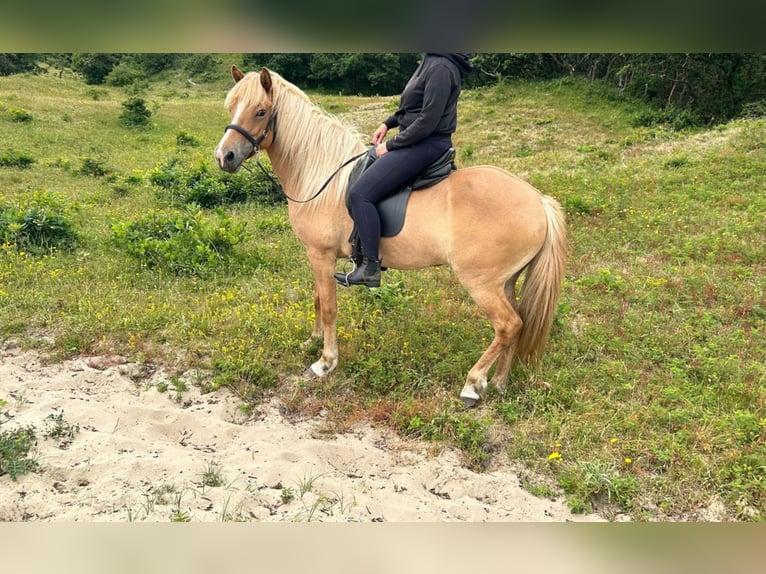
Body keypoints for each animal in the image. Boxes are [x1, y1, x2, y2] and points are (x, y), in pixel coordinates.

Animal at [213, 66, 568, 410]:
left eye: (260, 111)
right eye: (231, 107)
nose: (224, 156)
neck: (322, 176)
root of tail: (538, 201)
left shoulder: (321, 254)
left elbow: (329, 307)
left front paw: (325, 362)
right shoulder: (317, 256)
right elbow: (317, 298)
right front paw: (312, 341)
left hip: (481, 283)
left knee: (508, 325)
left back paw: (473, 383)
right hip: (505, 281)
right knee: (519, 323)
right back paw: (498, 383)